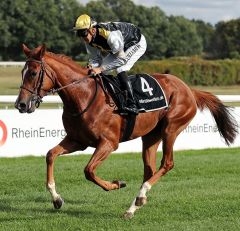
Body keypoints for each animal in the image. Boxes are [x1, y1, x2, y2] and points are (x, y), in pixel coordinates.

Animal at [15, 44, 238, 218]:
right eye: (22, 72)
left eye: (33, 73)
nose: (21, 105)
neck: (83, 96)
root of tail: (189, 89)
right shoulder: (77, 141)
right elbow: (50, 155)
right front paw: (56, 199)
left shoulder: (108, 143)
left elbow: (89, 171)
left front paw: (116, 184)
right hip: (150, 136)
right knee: (149, 170)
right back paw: (134, 206)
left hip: (171, 128)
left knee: (167, 163)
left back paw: (139, 199)